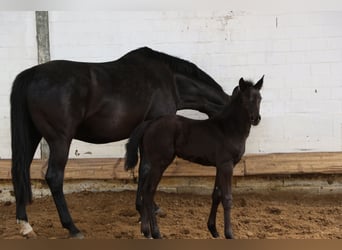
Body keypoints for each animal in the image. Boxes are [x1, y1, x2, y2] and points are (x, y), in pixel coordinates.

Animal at [10, 46, 230, 237]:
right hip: (60, 140)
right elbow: (146, 169)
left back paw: (25, 225)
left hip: (32, 135)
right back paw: (72, 228)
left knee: (20, 170)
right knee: (54, 177)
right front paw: (144, 210)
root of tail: (33, 74)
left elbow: (142, 169)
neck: (171, 81)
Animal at [124, 75, 264, 238]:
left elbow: (216, 195)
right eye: (244, 99)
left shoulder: (219, 166)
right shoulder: (227, 165)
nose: (256, 118)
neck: (228, 129)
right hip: (159, 163)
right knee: (148, 192)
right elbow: (227, 197)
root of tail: (150, 123)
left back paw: (146, 231)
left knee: (144, 190)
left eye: (259, 98)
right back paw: (156, 233)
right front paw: (229, 234)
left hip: (149, 161)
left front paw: (213, 230)